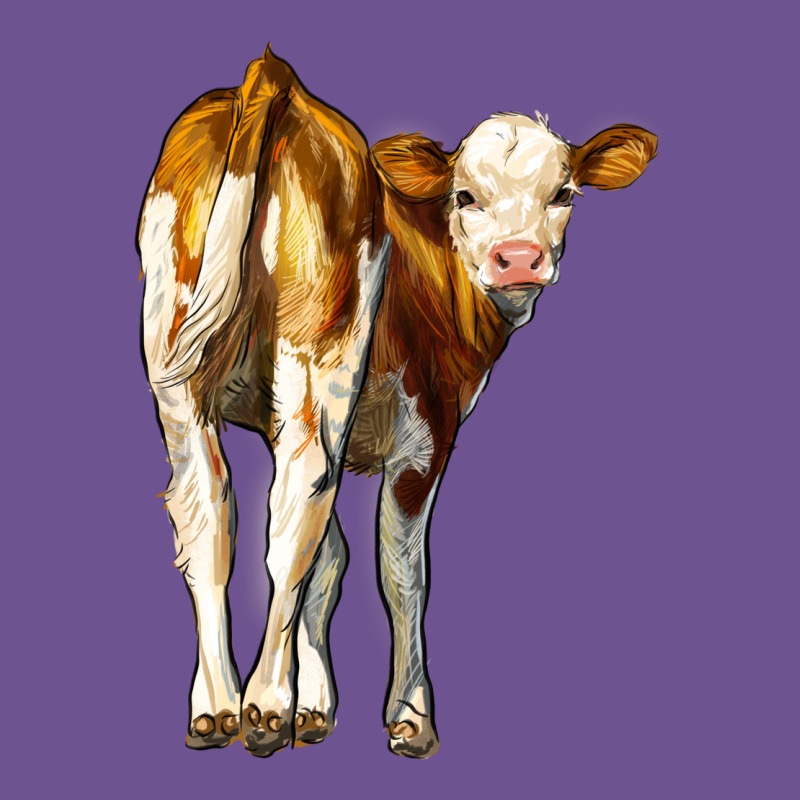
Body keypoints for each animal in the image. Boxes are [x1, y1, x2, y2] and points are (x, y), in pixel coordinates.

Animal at [138, 46, 656, 759]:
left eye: (564, 193)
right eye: (465, 195)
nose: (518, 259)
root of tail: (275, 80)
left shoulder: (284, 418)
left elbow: (328, 562)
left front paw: (315, 709)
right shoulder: (425, 431)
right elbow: (400, 571)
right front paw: (408, 716)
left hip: (177, 369)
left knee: (209, 512)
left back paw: (217, 706)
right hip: (320, 359)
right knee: (294, 512)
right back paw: (263, 706)